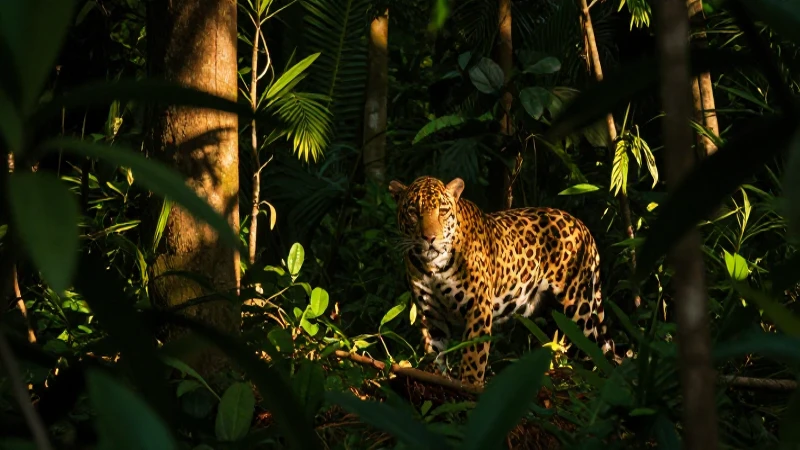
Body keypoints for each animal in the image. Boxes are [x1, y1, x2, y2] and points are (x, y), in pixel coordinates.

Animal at [388, 175, 616, 386]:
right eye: (413, 212)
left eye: (442, 211)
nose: (430, 238)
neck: (433, 268)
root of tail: (583, 226)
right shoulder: (431, 315)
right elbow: (435, 352)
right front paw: (436, 376)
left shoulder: (478, 308)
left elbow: (473, 355)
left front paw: (470, 386)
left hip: (579, 307)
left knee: (595, 347)